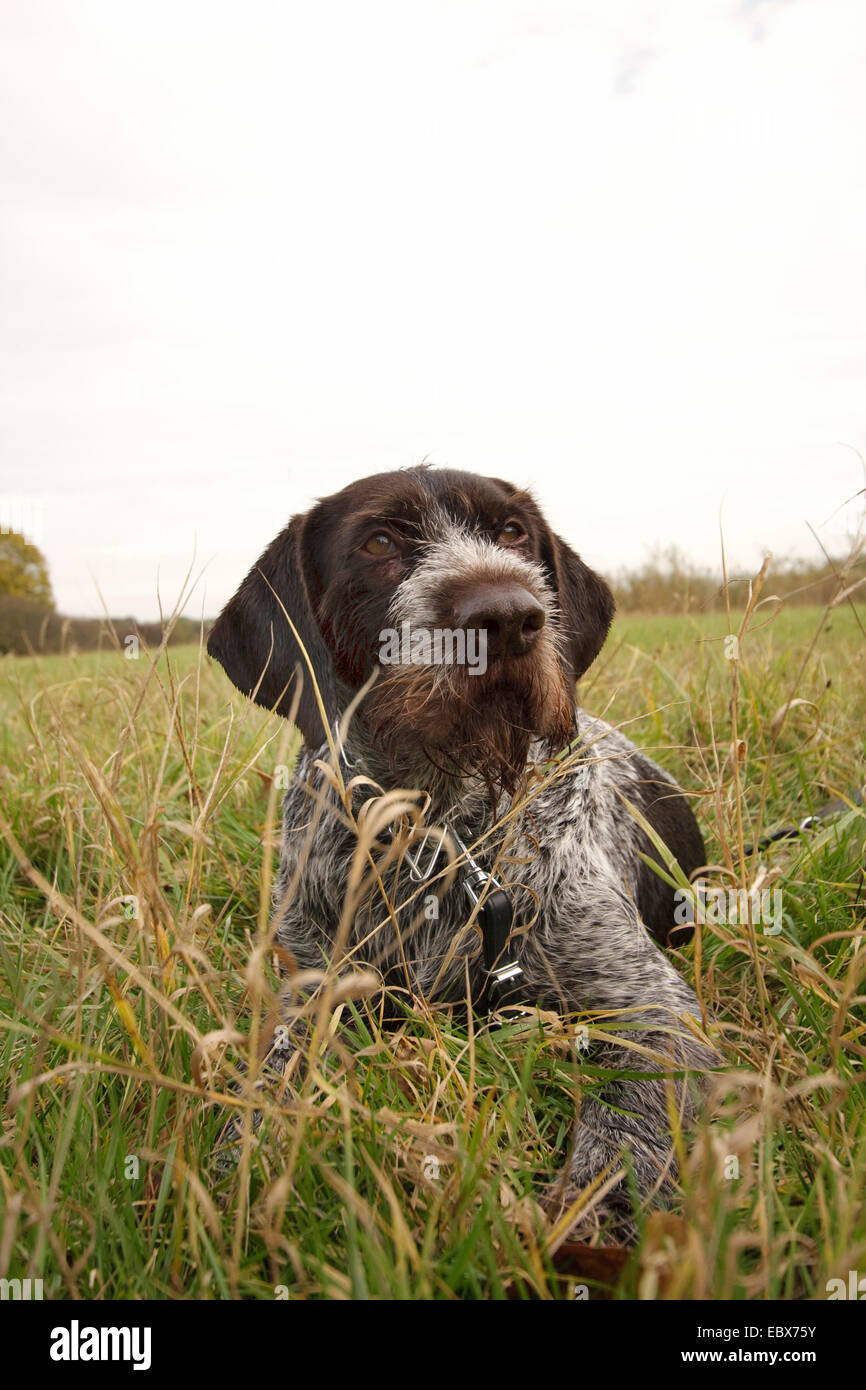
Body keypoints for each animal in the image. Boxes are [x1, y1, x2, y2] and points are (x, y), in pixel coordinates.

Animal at [207, 461, 717, 1245]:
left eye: (512, 532)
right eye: (380, 542)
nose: (506, 615)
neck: (437, 829)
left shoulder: (649, 1007)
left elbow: (629, 1131)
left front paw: (591, 1223)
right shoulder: (312, 989)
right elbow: (270, 1080)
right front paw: (237, 1177)